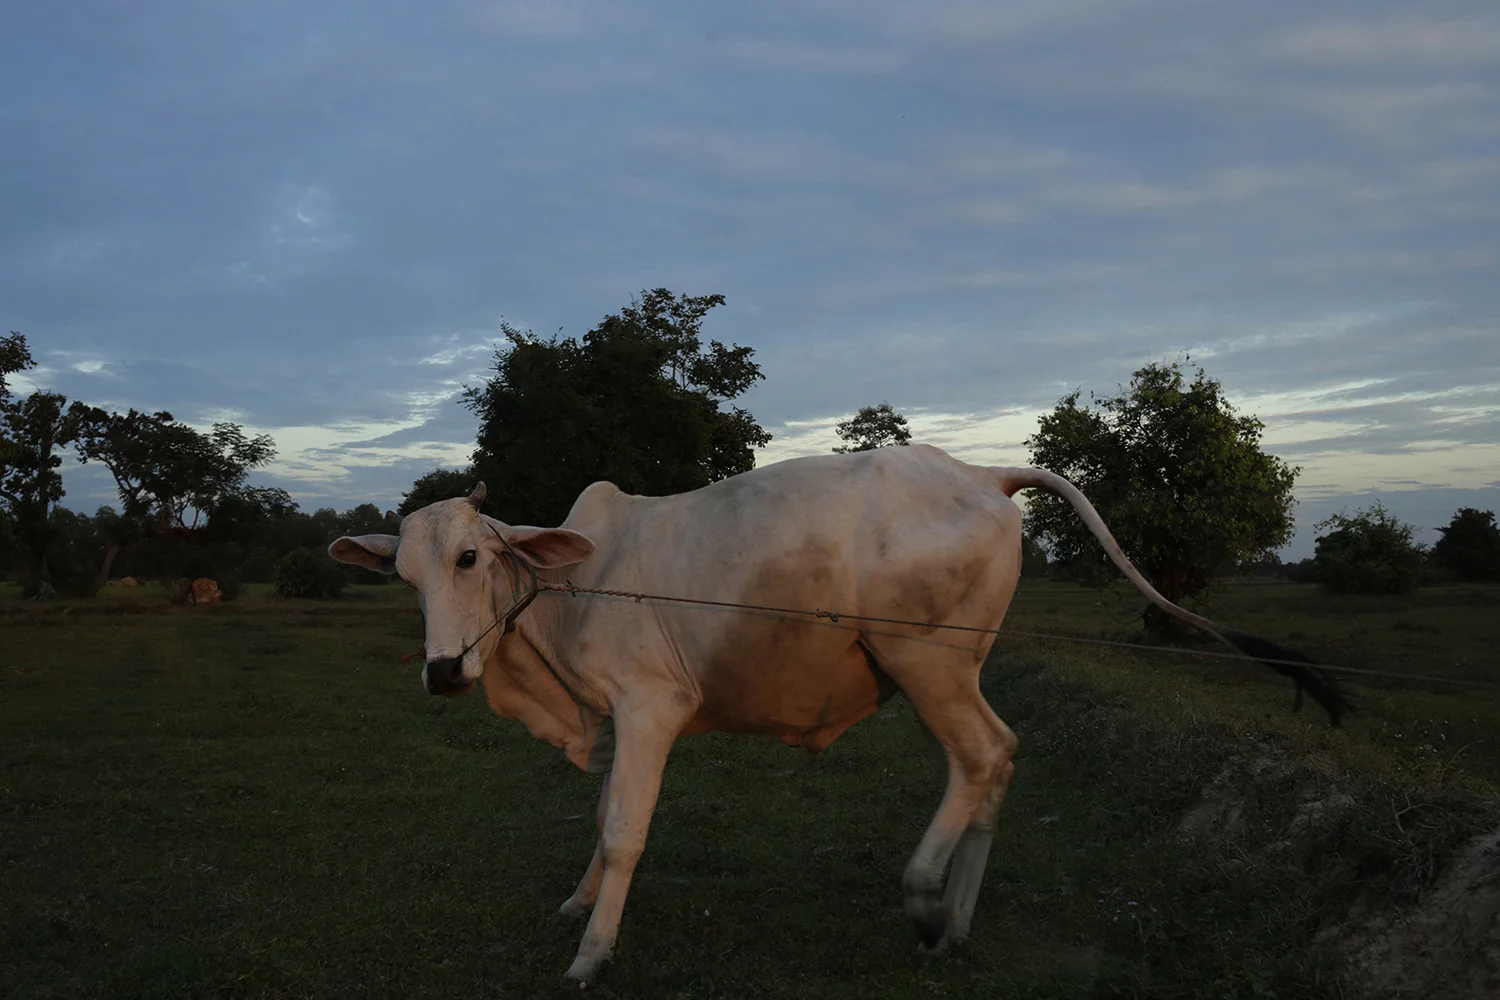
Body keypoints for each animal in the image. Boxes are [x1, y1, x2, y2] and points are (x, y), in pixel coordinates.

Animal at [329, 444, 1345, 985]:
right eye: (405, 575)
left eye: (470, 558)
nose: (443, 670)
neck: (574, 582)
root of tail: (981, 471)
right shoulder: (615, 716)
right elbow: (601, 820)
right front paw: (580, 904)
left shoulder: (651, 706)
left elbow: (623, 832)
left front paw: (592, 953)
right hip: (947, 669)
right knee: (994, 762)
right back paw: (956, 920)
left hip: (927, 661)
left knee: (984, 757)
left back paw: (926, 899)